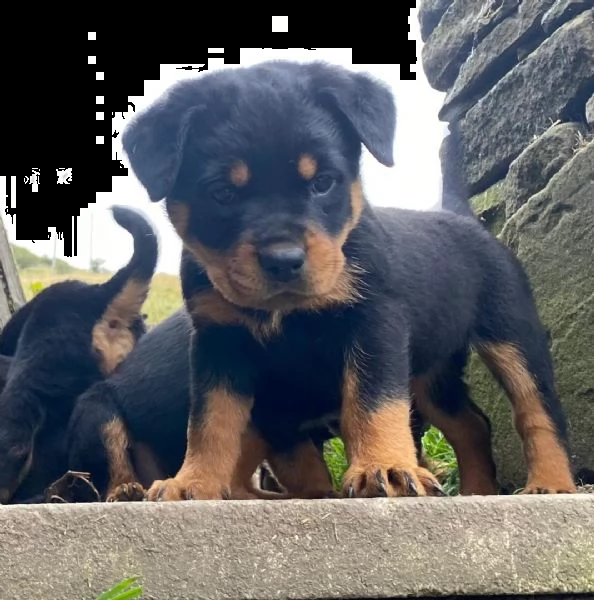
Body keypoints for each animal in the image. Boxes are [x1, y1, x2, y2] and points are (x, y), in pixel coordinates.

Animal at [121, 61, 572, 502]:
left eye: (322, 182)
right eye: (221, 193)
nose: (284, 261)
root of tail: (461, 215)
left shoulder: (374, 322)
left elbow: (373, 402)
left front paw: (384, 467)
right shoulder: (218, 342)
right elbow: (210, 421)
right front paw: (192, 483)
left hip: (511, 333)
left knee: (537, 408)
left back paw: (550, 481)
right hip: (431, 370)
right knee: (471, 423)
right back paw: (477, 490)